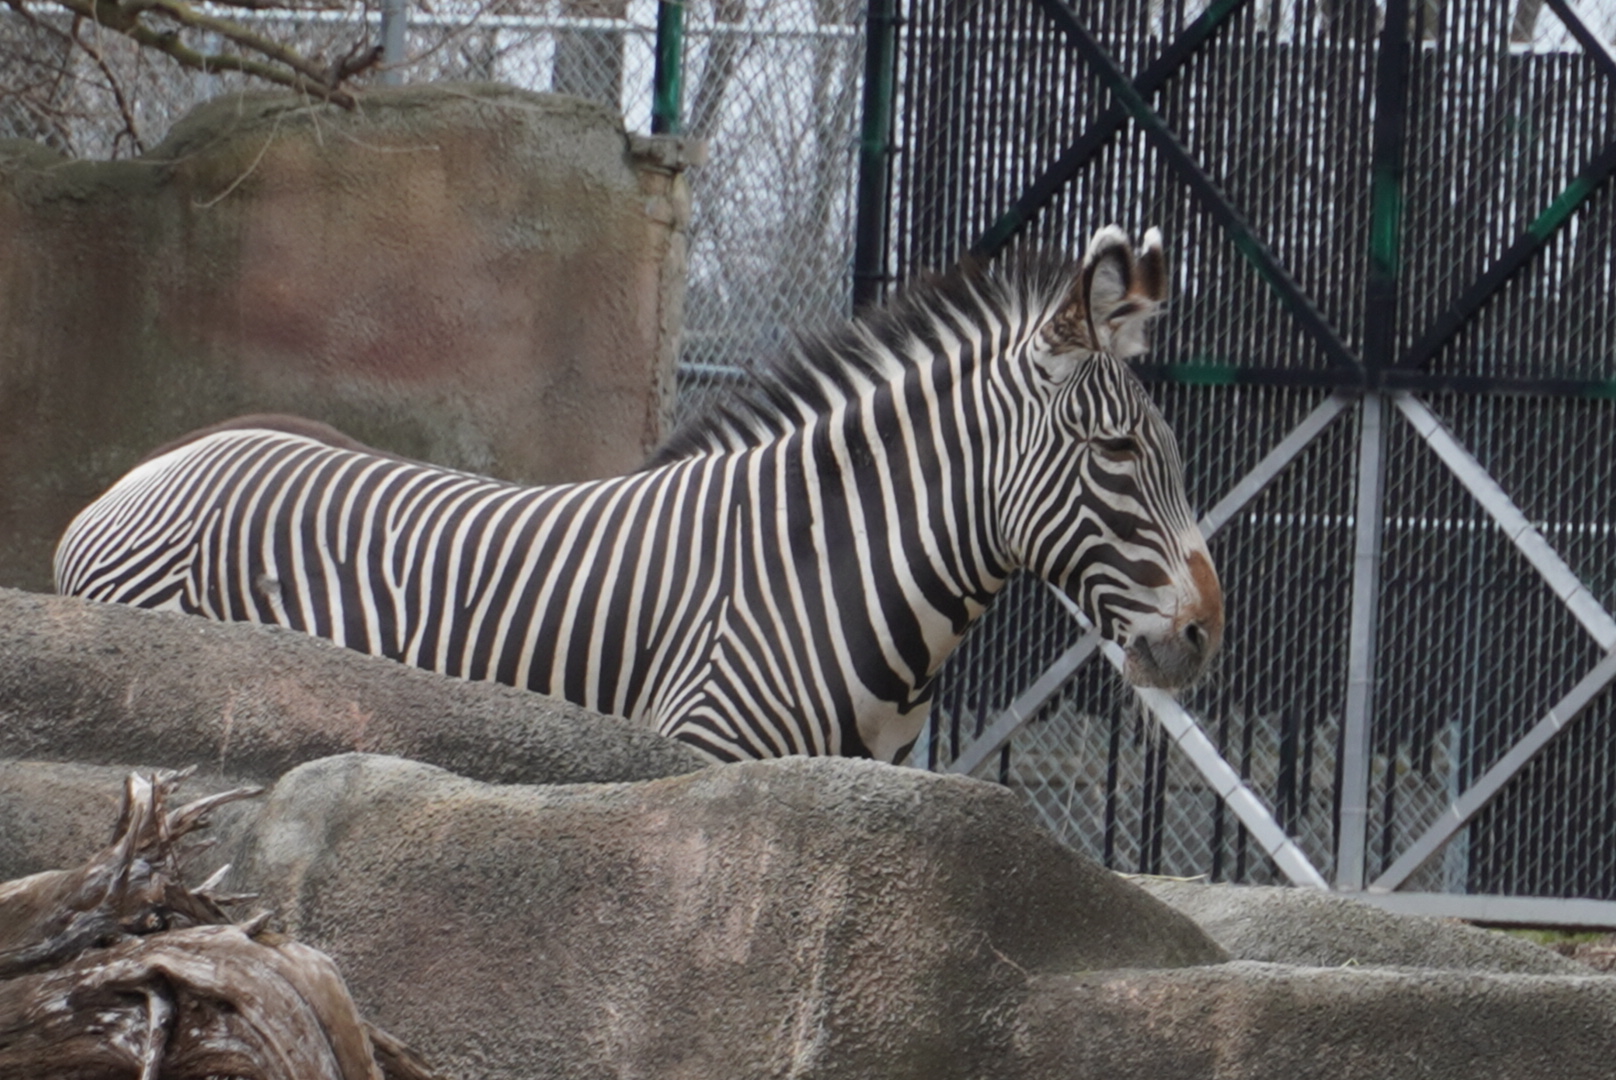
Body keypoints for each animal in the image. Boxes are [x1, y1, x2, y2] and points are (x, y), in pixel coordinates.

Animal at [55, 226, 1223, 763]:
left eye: (1167, 448)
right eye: (1118, 451)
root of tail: (151, 468)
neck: (833, 576)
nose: (1205, 633)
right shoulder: (701, 757)